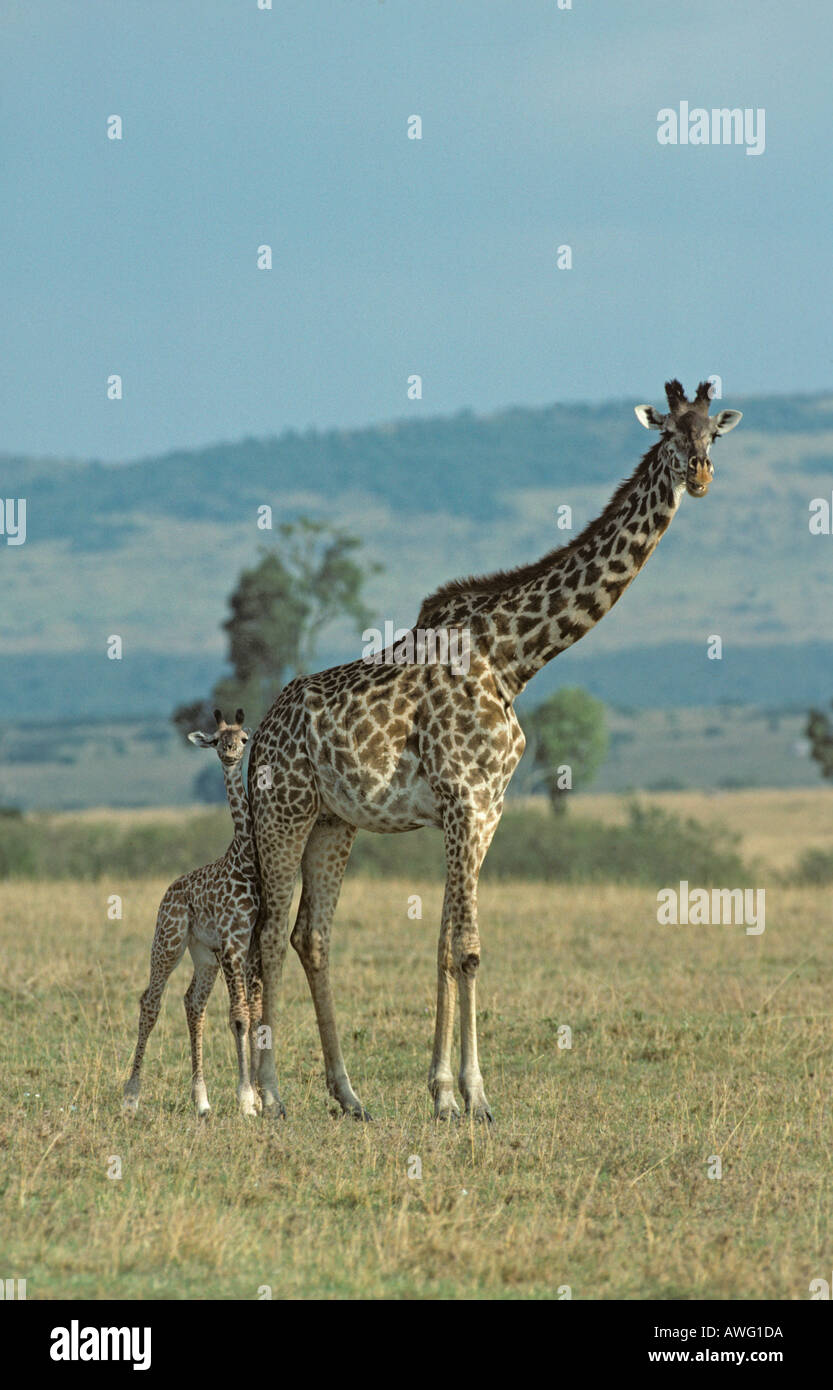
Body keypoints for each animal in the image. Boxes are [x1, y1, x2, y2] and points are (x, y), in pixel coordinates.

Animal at [123, 710, 262, 1118]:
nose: (229, 753)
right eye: (217, 739)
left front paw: (257, 1097)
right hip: (167, 941)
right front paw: (246, 1100)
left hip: (203, 955)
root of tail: (169, 890)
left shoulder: (251, 945)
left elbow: (255, 1013)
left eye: (244, 738)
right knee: (151, 1002)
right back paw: (131, 1096)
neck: (245, 860)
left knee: (192, 1003)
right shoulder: (232, 944)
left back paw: (201, 1100)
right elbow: (239, 1017)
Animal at [247, 380, 742, 1122]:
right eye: (668, 434)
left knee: (312, 934)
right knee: (271, 932)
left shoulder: (488, 809)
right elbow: (467, 948)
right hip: (285, 812)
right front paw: (469, 1097)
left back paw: (348, 1095)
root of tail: (260, 732)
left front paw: (446, 1091)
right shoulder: (461, 800)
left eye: (713, 432)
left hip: (334, 824)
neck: (514, 656)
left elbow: (449, 944)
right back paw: (266, 1095)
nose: (701, 475)